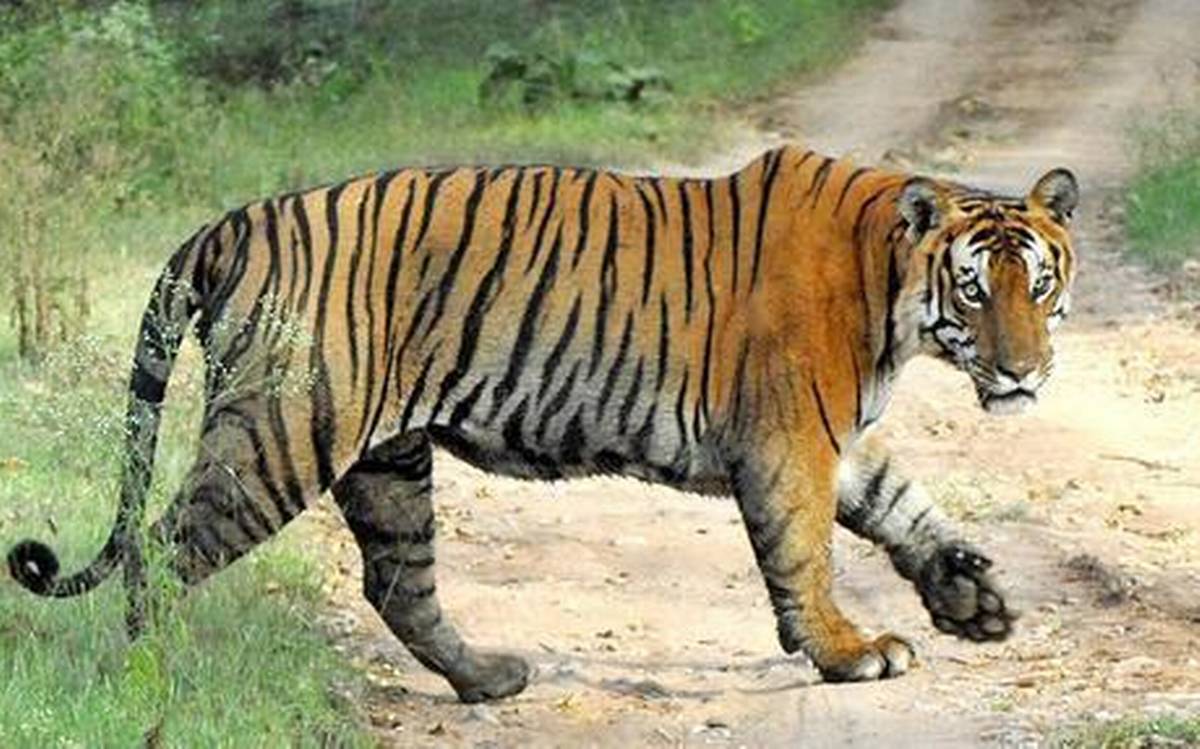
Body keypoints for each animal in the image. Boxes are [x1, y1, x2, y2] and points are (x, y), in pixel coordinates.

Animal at [7, 144, 1078, 702]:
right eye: (976, 290)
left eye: (1039, 285)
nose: (1022, 372)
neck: (893, 291)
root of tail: (234, 221)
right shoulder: (788, 441)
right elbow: (805, 551)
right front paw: (849, 651)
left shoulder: (830, 439)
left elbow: (902, 502)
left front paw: (972, 600)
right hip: (281, 430)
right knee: (165, 551)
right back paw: (148, 675)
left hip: (386, 457)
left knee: (398, 583)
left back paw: (487, 678)